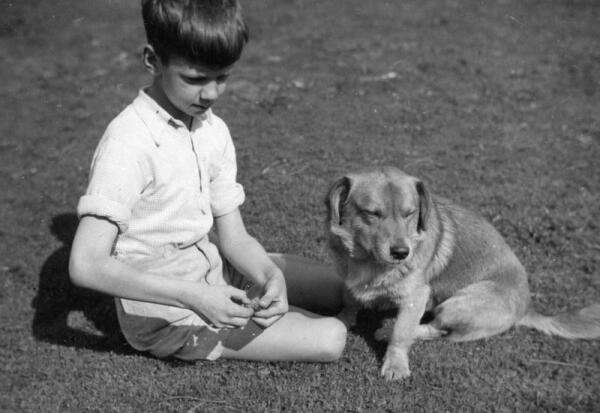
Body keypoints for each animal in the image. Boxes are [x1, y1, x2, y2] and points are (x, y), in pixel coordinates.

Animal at [325, 166, 600, 380]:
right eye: (372, 213)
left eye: (410, 213)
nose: (402, 252)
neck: (368, 262)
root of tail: (527, 307)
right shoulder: (346, 278)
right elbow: (349, 300)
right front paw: (342, 318)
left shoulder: (417, 296)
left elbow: (402, 334)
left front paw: (396, 364)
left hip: (458, 304)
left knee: (438, 330)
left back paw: (386, 330)